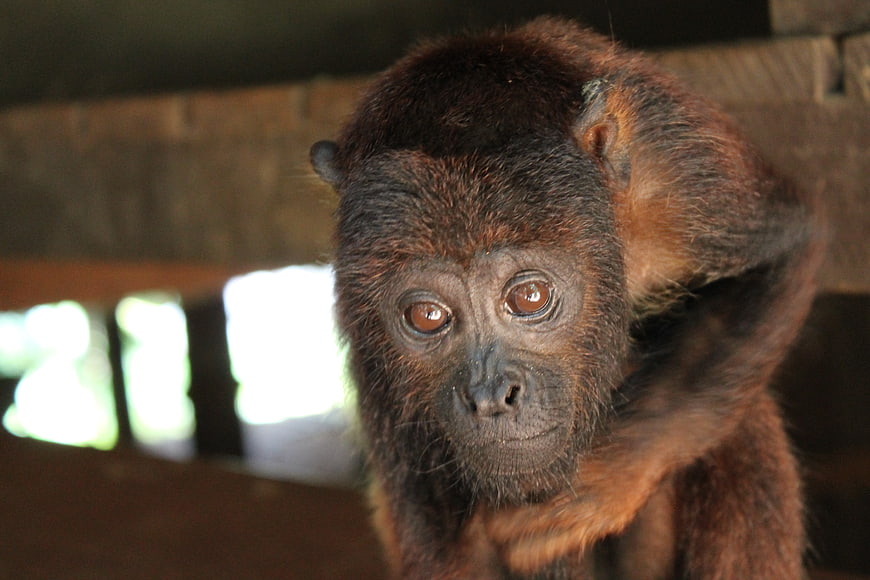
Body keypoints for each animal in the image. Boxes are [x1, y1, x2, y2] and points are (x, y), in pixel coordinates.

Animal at [309, 17, 822, 579]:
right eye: (427, 316)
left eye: (530, 296)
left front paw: (608, 478)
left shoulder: (672, 166)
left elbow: (784, 248)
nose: (490, 397)